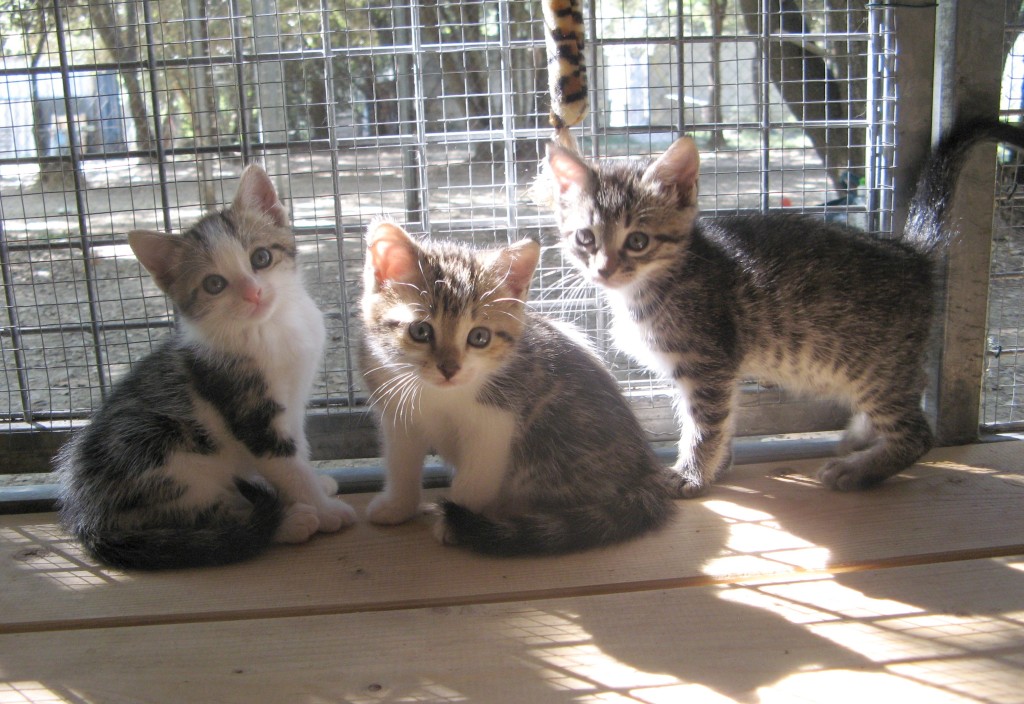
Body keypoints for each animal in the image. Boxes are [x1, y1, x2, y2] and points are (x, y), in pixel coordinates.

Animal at [59, 166, 358, 573]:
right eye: (214, 284)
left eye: (261, 257)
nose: (253, 293)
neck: (270, 328)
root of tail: (88, 516)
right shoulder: (250, 411)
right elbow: (286, 465)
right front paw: (324, 508)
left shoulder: (293, 404)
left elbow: (299, 454)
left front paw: (316, 484)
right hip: (167, 458)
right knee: (208, 517)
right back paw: (289, 522)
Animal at [356, 221, 675, 556]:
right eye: (420, 331)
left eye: (479, 337)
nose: (450, 369)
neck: (439, 395)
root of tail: (647, 473)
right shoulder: (396, 411)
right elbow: (400, 462)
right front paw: (397, 506)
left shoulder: (496, 421)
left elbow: (475, 478)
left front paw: (454, 518)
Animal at [548, 116, 1024, 495]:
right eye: (586, 238)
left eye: (638, 241)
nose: (604, 269)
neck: (656, 283)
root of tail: (910, 254)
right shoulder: (716, 369)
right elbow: (721, 419)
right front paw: (718, 467)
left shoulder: (708, 363)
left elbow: (705, 425)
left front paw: (692, 474)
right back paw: (860, 437)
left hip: (875, 366)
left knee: (918, 434)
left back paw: (859, 471)